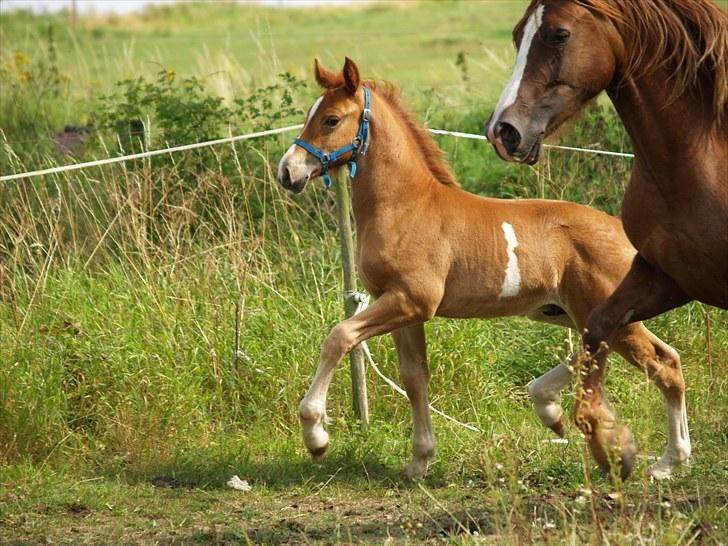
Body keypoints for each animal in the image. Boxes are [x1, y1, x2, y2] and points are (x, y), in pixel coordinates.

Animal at [276, 57, 692, 478]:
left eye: (331, 120)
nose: (287, 172)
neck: (405, 205)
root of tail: (622, 232)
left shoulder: (411, 300)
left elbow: (339, 337)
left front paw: (316, 436)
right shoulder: (402, 307)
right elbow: (414, 377)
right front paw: (419, 461)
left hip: (600, 312)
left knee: (664, 364)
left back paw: (668, 461)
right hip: (566, 311)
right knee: (638, 351)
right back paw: (551, 408)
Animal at [486, 0, 724, 476]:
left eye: (558, 34)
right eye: (518, 35)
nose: (503, 132)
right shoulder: (667, 276)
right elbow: (596, 330)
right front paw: (610, 442)